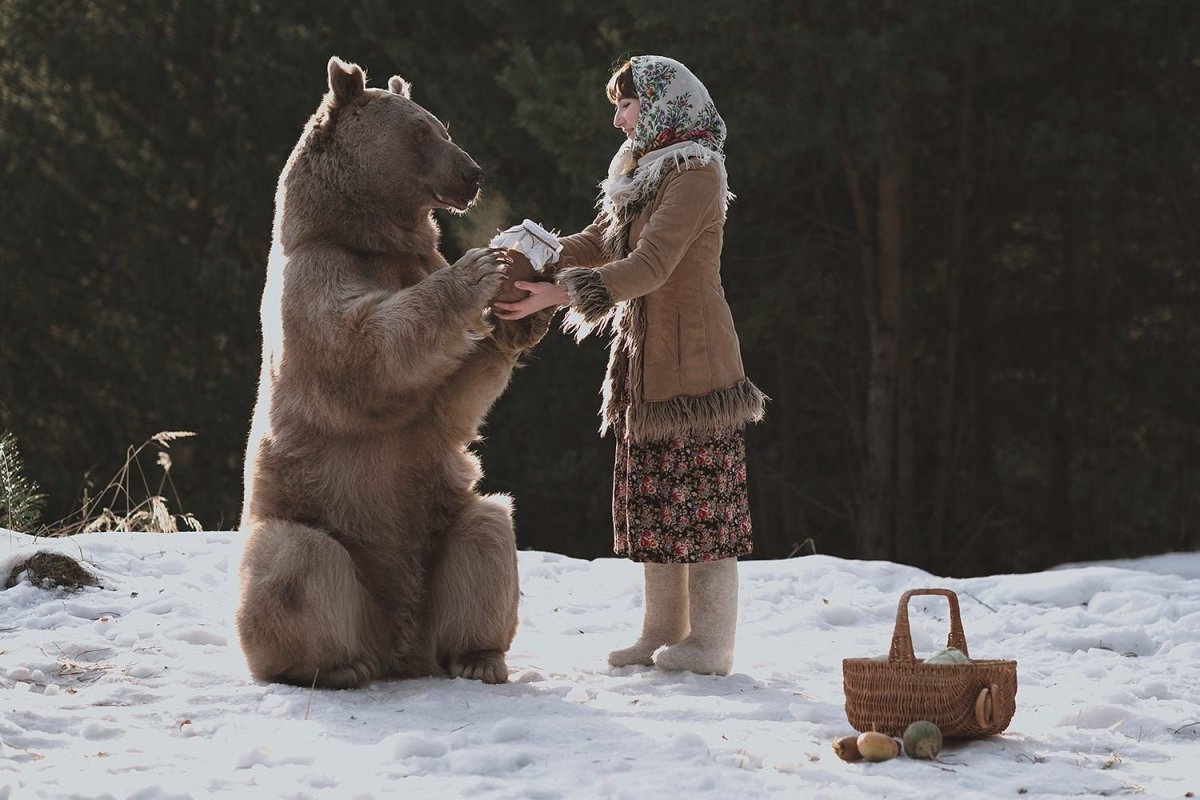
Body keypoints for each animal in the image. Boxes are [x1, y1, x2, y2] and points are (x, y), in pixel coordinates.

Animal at [235, 56, 552, 689]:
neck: (368, 236)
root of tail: (399, 646)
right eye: (422, 132)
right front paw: (480, 267)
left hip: (437, 532)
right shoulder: (315, 279)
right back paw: (336, 665)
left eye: (443, 126)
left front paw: (519, 320)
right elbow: (364, 348)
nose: (473, 173)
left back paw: (479, 657)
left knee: (487, 529)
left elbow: (451, 399)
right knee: (297, 562)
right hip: (319, 523)